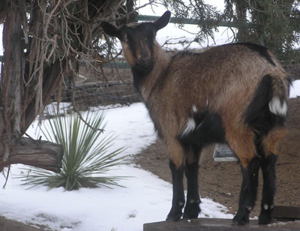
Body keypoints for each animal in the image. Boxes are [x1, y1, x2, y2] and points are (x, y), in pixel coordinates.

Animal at [102, 11, 290, 226]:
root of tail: (271, 71)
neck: (160, 77)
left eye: (152, 34)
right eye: (125, 37)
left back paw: (241, 216)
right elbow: (192, 168)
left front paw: (174, 214)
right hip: (273, 127)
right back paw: (265, 217)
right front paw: (191, 212)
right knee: (269, 162)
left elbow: (176, 167)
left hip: (237, 125)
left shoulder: (171, 132)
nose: (144, 61)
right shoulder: (193, 139)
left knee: (250, 161)